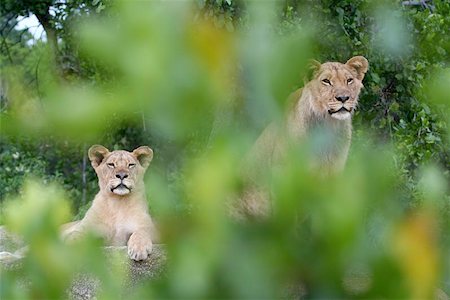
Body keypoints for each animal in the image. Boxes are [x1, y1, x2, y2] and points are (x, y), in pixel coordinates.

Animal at [232, 56, 370, 220]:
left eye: (349, 80)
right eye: (326, 81)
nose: (343, 98)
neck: (328, 126)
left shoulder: (333, 173)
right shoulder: (283, 175)